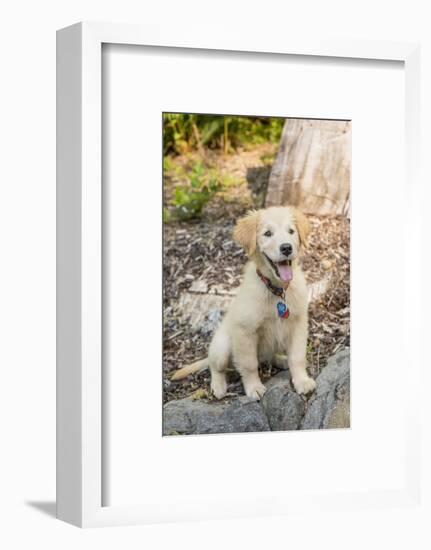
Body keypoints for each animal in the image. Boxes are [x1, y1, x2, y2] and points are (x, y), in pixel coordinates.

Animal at [172, 207, 318, 402]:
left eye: (291, 231)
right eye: (267, 233)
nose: (287, 247)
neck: (277, 290)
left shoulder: (298, 325)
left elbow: (297, 357)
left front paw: (301, 380)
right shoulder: (245, 331)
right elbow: (249, 364)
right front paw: (254, 387)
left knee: (269, 356)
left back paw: (281, 360)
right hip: (222, 346)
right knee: (216, 367)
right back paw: (218, 386)